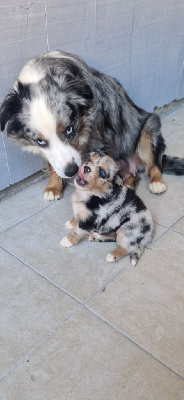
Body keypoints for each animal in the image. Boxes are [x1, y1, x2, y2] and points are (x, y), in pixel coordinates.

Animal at [0, 49, 183, 200]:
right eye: (40, 141)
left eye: (69, 129)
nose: (71, 171)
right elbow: (52, 163)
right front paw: (53, 186)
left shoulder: (98, 139)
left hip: (149, 130)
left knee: (154, 164)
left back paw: (156, 182)